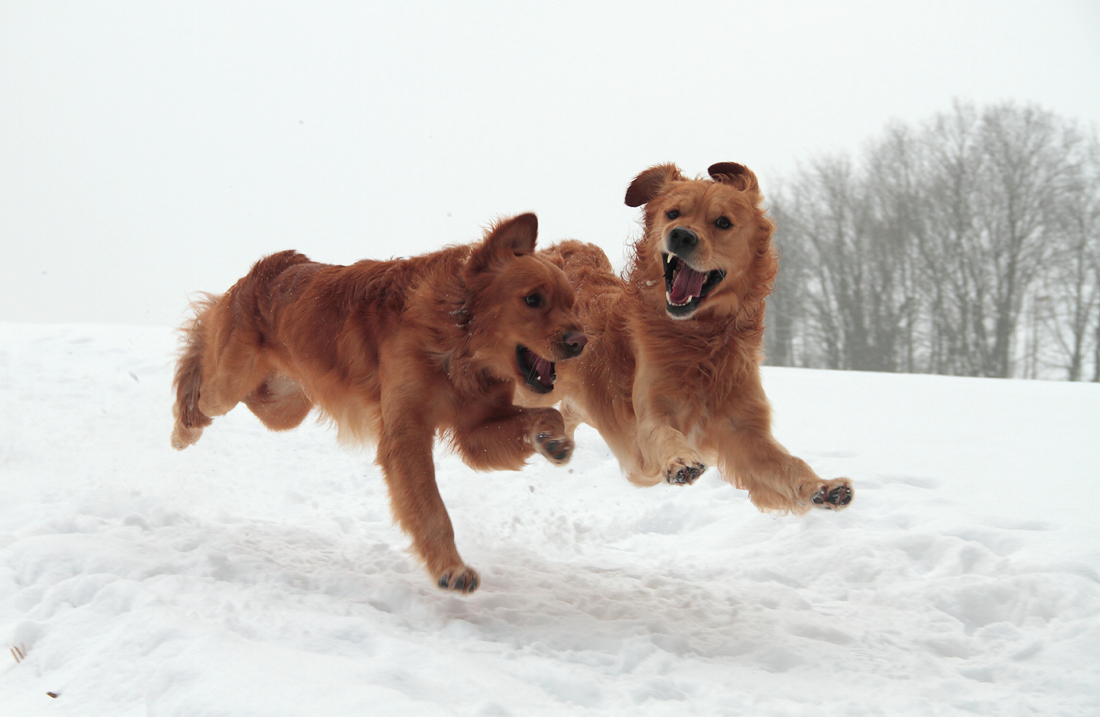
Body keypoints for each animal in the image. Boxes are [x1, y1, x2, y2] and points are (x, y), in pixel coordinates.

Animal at [169, 214, 585, 593]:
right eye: (533, 299)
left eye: (571, 304)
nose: (581, 341)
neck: (459, 340)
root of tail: (272, 266)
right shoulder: (406, 434)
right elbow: (431, 509)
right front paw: (450, 568)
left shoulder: (475, 430)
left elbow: (546, 414)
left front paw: (553, 441)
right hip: (229, 384)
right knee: (201, 367)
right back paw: (183, 428)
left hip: (284, 403)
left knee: (231, 371)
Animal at [528, 162, 853, 512]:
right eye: (673, 213)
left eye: (723, 222)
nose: (681, 235)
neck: (699, 339)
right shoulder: (650, 413)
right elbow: (664, 434)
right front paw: (681, 460)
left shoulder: (745, 428)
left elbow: (790, 465)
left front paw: (823, 487)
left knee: (570, 409)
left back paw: (553, 440)